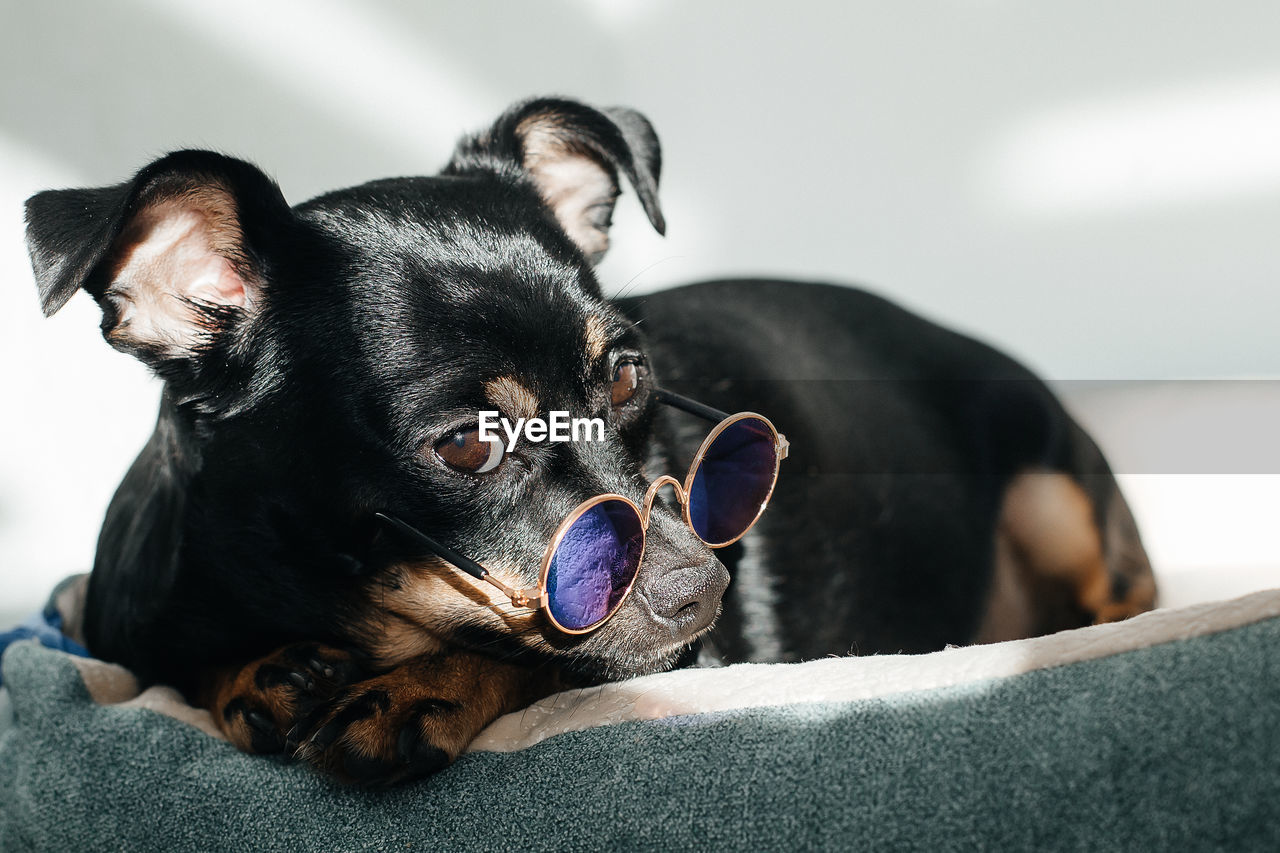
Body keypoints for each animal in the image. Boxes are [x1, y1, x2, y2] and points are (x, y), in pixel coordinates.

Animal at [24, 96, 1157, 778]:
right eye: (467, 446)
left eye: (627, 375)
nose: (705, 586)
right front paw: (254, 674)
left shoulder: (675, 658)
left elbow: (558, 658)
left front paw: (423, 687)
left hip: (1055, 497)